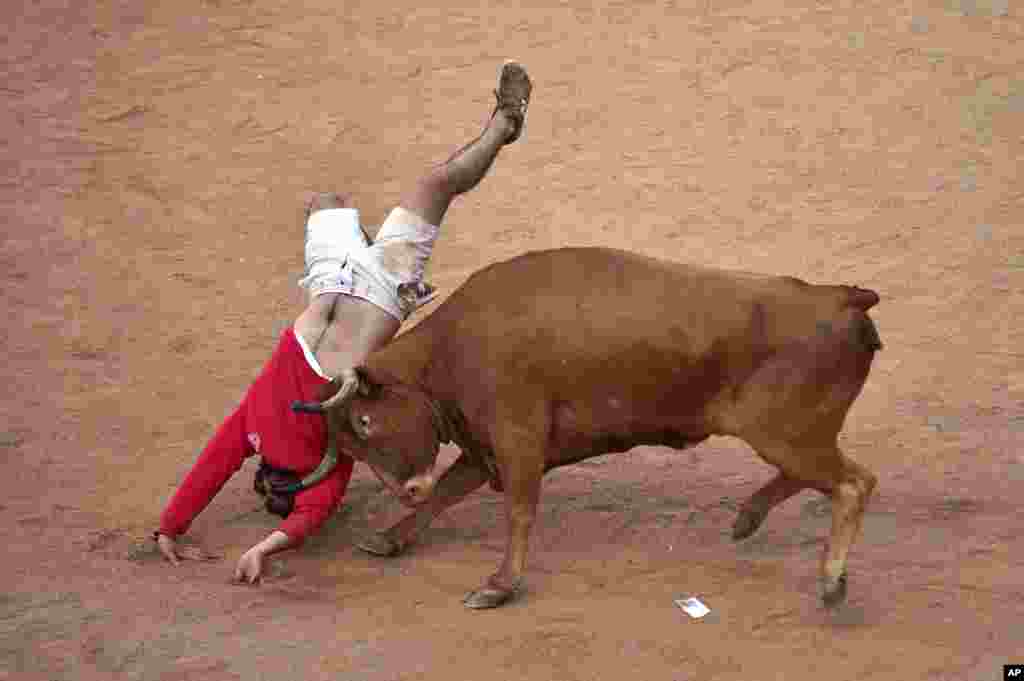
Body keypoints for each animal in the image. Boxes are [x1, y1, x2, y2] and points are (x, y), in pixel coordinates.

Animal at [293, 247, 882, 609]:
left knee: (854, 483)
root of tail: (839, 296)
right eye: (348, 443)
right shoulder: (483, 451)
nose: (405, 488)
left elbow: (518, 512)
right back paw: (747, 519)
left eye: (365, 420)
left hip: (784, 434)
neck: (452, 350)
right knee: (823, 477)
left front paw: (499, 586)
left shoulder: (517, 442)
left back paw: (830, 580)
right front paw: (389, 539)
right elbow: (445, 494)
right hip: (793, 437)